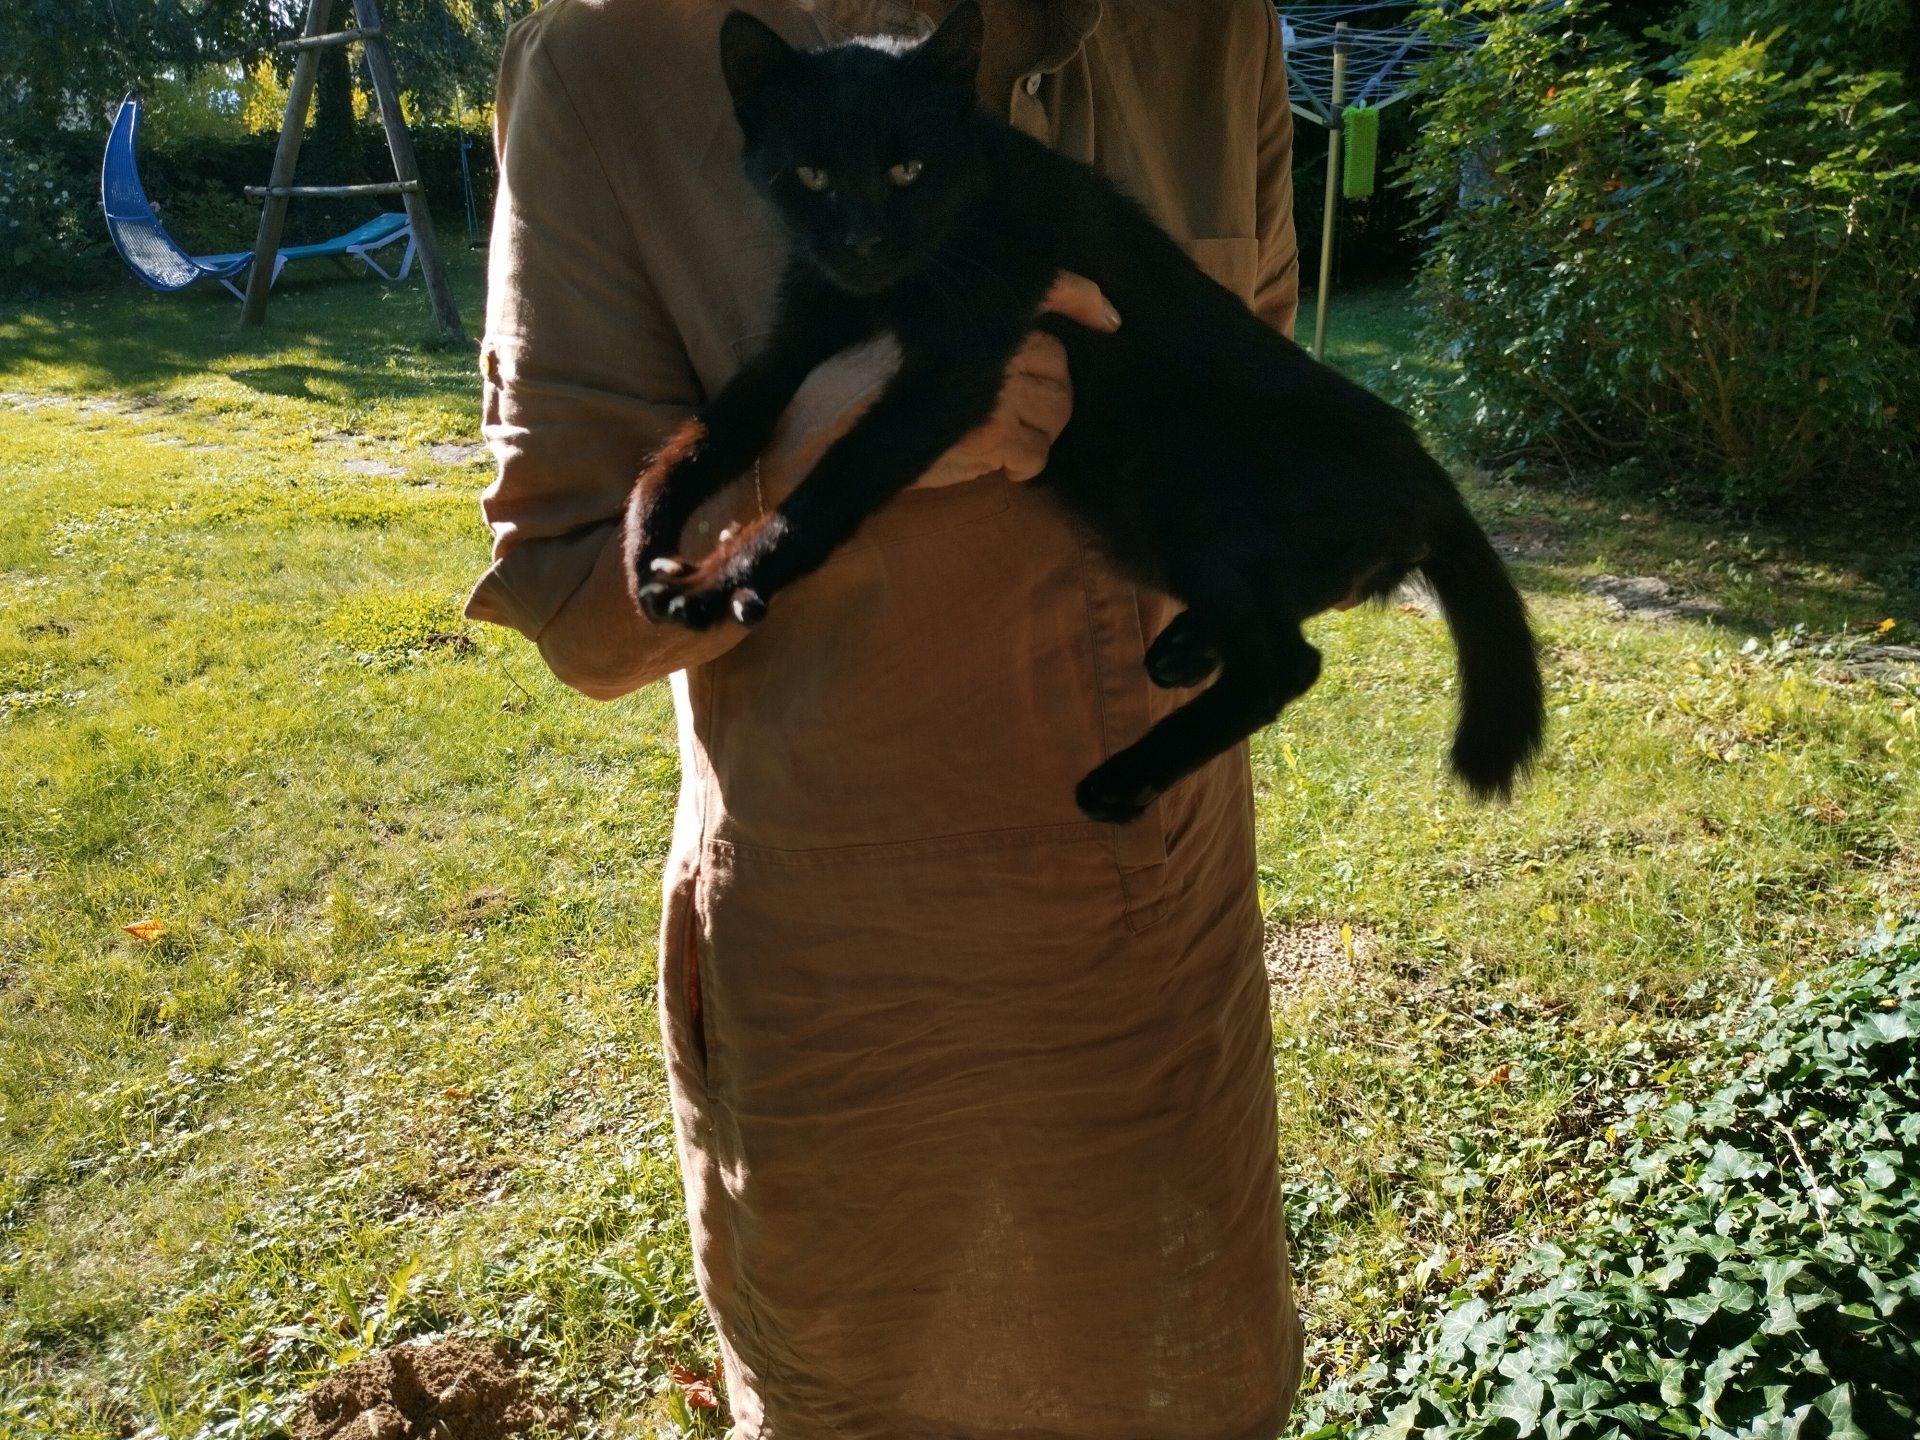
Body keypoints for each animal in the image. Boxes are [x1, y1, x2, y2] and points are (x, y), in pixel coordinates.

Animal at [630, 0, 1545, 825]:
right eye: (812, 176)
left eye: (908, 171)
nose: (862, 243)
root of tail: (1430, 481)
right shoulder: (796, 345)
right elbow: (700, 436)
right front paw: (644, 539)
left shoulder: (953, 373)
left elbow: (829, 484)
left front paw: (717, 582)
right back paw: (1186, 648)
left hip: (1188, 493)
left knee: (1289, 663)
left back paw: (1125, 777)